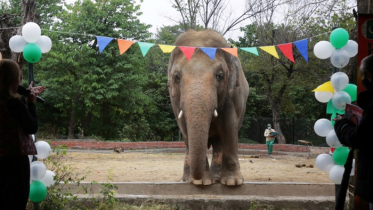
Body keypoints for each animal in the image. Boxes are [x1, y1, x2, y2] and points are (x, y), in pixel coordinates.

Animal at [167, 29, 248, 185]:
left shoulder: (231, 93)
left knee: (219, 141)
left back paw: (217, 177)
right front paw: (201, 183)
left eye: (220, 75)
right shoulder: (174, 99)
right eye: (176, 77)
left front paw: (232, 182)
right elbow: (184, 127)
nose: (197, 178)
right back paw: (186, 179)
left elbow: (229, 125)